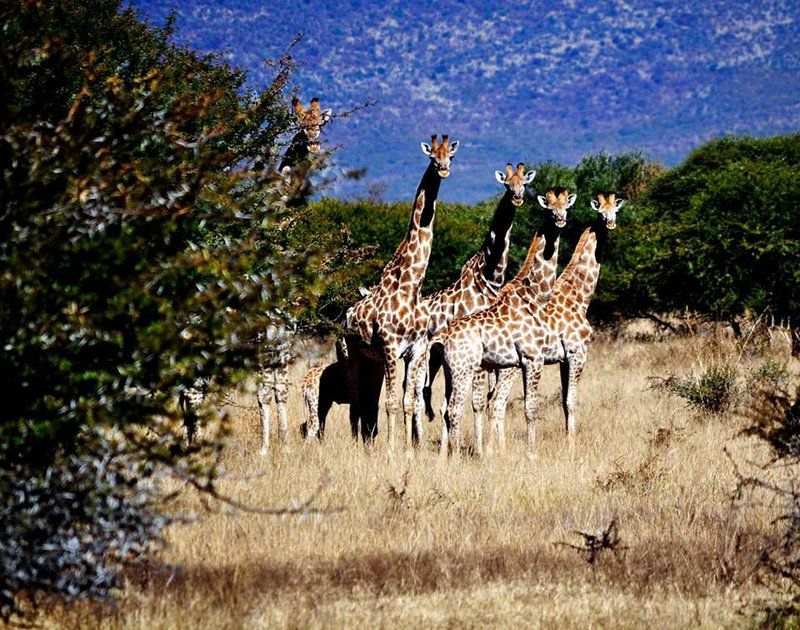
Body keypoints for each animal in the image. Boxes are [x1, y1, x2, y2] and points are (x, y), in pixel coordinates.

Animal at [342, 136, 460, 452]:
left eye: (451, 155)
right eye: (432, 157)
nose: (443, 170)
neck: (411, 284)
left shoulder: (416, 350)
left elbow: (408, 401)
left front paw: (408, 449)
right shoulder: (392, 348)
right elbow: (392, 402)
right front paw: (392, 450)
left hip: (372, 360)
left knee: (367, 401)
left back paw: (367, 444)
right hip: (353, 354)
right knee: (356, 400)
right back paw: (357, 446)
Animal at [438, 188, 576, 460]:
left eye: (566, 205)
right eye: (549, 208)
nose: (560, 220)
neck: (536, 297)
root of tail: (446, 337)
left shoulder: (521, 362)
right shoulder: (533, 358)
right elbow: (531, 408)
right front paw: (532, 454)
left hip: (450, 371)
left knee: (446, 408)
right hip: (463, 369)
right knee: (454, 409)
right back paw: (457, 458)